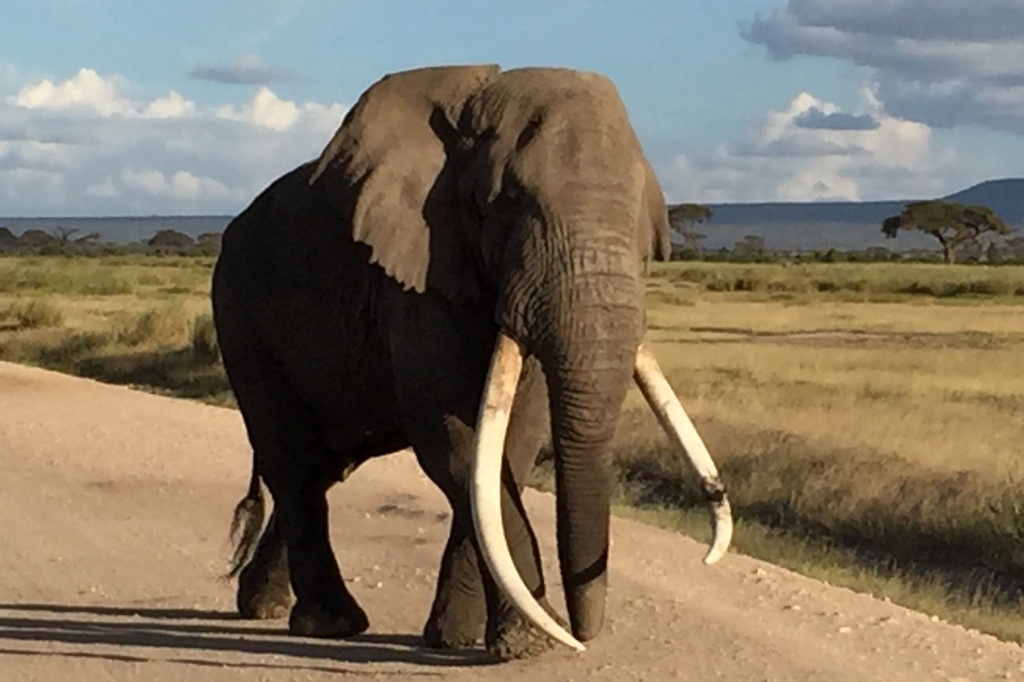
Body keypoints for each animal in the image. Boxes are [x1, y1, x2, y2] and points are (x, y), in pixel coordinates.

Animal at [214, 63, 729, 659]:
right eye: (504, 201)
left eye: (642, 209)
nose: (584, 636)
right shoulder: (416, 278)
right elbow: (456, 445)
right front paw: (535, 641)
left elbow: (513, 442)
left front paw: (458, 640)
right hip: (240, 313)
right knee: (293, 459)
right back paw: (330, 623)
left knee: (323, 465)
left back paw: (265, 606)